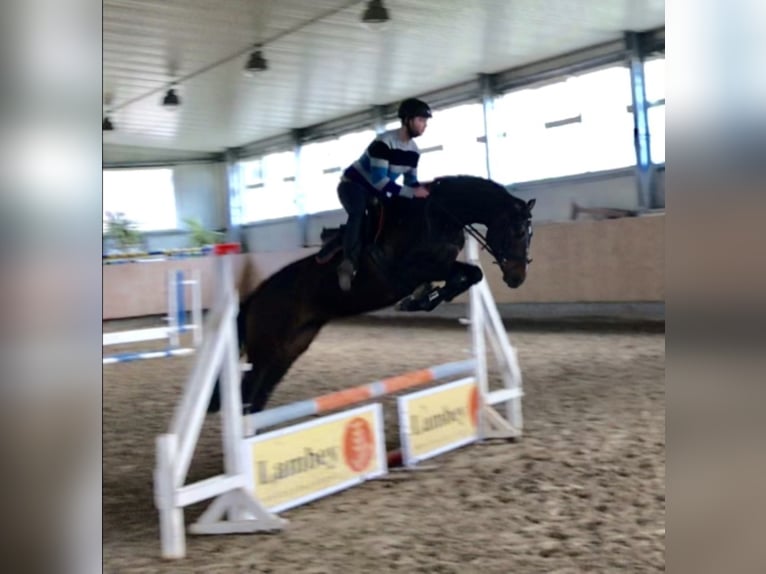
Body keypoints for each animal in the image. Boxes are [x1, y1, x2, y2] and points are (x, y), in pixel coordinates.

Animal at [209, 174, 535, 415]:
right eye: (518, 232)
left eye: (529, 234)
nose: (517, 278)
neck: (439, 217)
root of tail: (256, 298)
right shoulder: (410, 269)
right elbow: (465, 273)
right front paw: (419, 300)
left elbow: (470, 274)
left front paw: (424, 299)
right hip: (266, 348)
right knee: (248, 390)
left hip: (290, 347)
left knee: (258, 394)